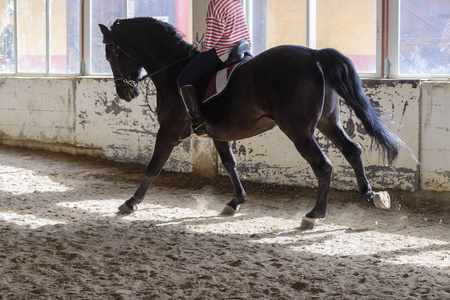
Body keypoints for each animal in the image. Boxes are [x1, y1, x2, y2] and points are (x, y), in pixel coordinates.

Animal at [98, 17, 412, 229]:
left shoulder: (168, 132)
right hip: (327, 121)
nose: (126, 93)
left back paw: (314, 215)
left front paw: (131, 202)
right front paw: (235, 201)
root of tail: (314, 55)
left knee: (323, 166)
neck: (173, 69)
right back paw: (369, 195)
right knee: (352, 151)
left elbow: (153, 166)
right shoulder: (217, 133)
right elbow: (229, 164)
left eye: (111, 54)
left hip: (298, 130)